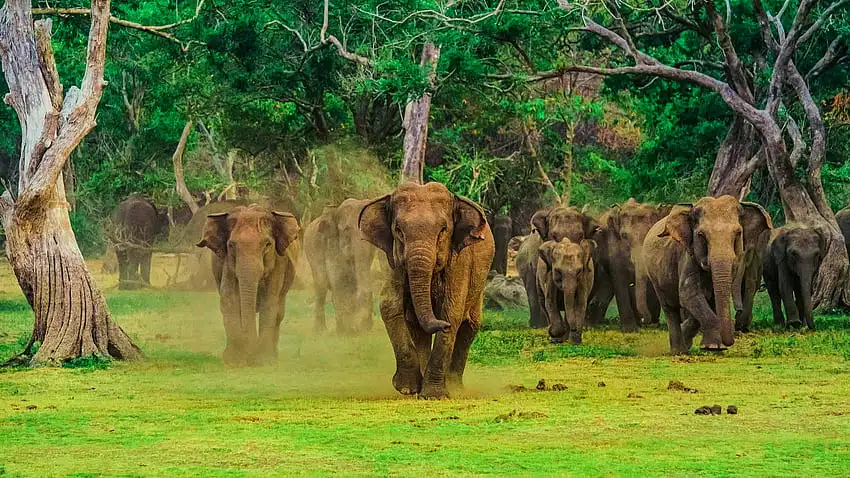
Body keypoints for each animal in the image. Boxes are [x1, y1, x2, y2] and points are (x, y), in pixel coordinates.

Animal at [196, 204, 300, 365]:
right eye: (231, 245)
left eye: (267, 244)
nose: (250, 356)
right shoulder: (227, 262)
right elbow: (229, 298)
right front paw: (235, 361)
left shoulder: (279, 261)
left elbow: (269, 301)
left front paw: (263, 360)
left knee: (279, 311)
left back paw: (273, 356)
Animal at [303, 199, 378, 335]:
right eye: (347, 230)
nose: (366, 327)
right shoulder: (331, 246)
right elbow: (339, 281)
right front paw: (345, 332)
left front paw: (358, 329)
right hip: (311, 252)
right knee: (321, 287)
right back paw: (320, 331)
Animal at [359, 182, 495, 399]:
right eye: (398, 230)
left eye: (443, 229)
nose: (441, 325)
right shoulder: (394, 263)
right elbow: (389, 306)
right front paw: (407, 389)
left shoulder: (459, 262)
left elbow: (452, 313)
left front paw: (434, 396)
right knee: (417, 328)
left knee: (469, 327)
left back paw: (455, 387)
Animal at [595, 199, 671, 332]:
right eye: (624, 236)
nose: (644, 320)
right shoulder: (613, 245)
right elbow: (619, 280)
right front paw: (630, 330)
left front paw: (652, 325)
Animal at [644, 196, 772, 354]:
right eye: (701, 235)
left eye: (738, 233)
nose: (731, 340)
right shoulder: (687, 256)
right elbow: (689, 293)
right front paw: (713, 347)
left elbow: (709, 298)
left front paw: (714, 346)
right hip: (654, 276)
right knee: (669, 308)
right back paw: (679, 351)